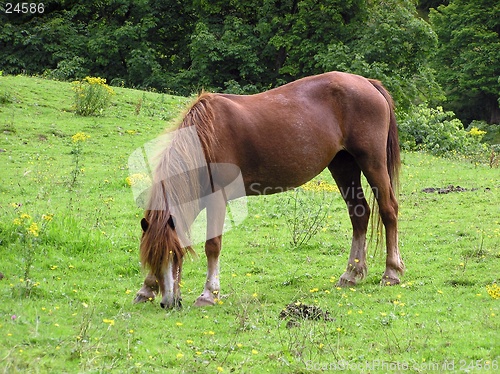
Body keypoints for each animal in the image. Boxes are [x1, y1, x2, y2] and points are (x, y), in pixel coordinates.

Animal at [133, 71, 402, 308]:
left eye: (175, 255)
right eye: (153, 258)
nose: (168, 303)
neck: (206, 137)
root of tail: (367, 83)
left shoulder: (217, 198)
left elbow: (212, 245)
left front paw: (208, 293)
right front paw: (146, 288)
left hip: (372, 162)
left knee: (388, 210)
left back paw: (391, 272)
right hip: (343, 165)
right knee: (359, 214)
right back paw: (352, 274)